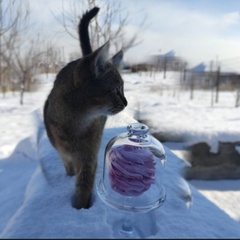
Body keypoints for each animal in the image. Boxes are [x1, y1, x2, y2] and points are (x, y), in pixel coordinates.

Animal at [43, 6, 127, 209]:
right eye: (116, 89)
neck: (75, 122)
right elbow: (69, 169)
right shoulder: (64, 154)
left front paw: (81, 208)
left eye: (122, 88)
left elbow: (84, 186)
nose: (126, 102)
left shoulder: (88, 158)